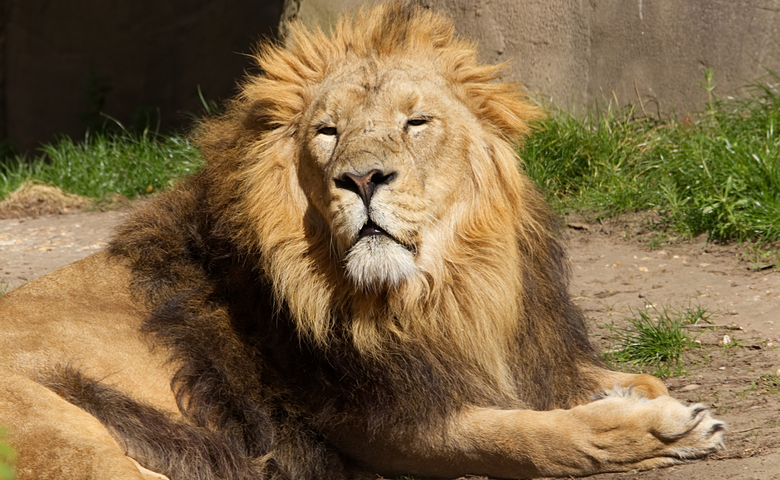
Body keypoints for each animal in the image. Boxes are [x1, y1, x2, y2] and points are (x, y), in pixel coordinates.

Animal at [0, 3, 724, 479]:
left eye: (415, 122)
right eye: (327, 131)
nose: (363, 177)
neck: (438, 295)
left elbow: (627, 378)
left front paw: (636, 398)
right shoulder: (384, 429)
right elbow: (519, 435)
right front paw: (655, 428)